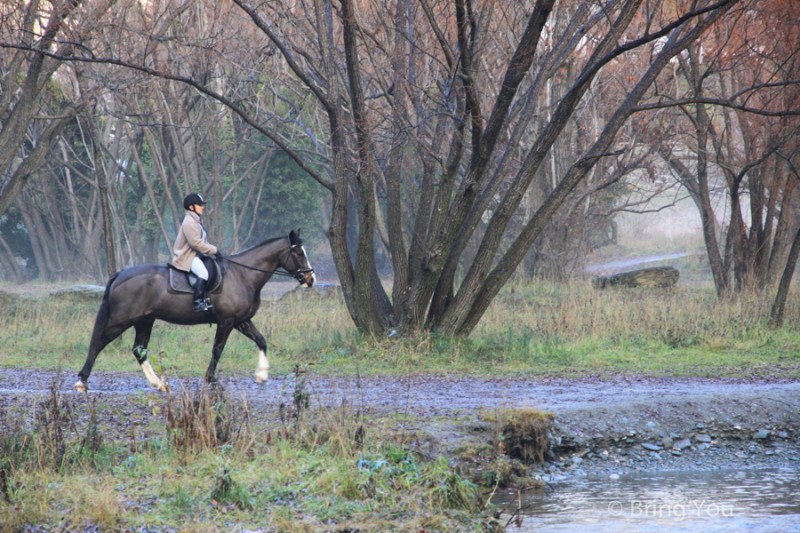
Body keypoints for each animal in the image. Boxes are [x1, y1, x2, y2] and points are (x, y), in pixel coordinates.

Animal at [73, 229, 314, 390]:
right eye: (298, 253)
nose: (311, 280)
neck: (242, 275)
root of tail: (121, 274)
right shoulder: (227, 321)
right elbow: (217, 349)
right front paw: (210, 378)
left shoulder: (241, 321)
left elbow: (261, 341)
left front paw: (262, 374)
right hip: (121, 320)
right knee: (99, 342)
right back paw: (81, 381)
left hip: (145, 321)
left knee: (139, 350)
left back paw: (158, 383)